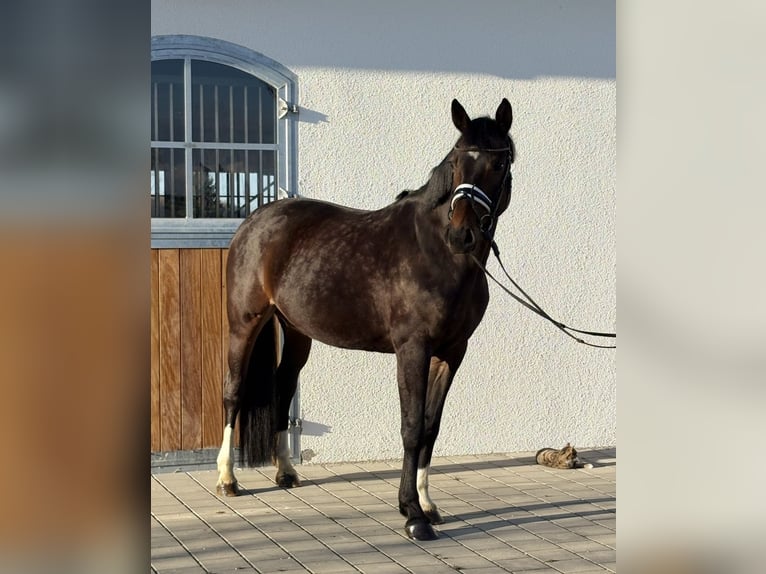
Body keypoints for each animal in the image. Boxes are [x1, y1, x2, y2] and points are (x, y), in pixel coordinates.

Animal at [215, 98, 515, 541]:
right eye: (458, 161)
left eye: (499, 163)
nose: (462, 235)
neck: (438, 254)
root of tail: (255, 221)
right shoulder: (412, 349)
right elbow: (411, 426)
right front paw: (412, 513)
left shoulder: (453, 352)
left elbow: (431, 427)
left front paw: (428, 504)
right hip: (244, 322)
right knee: (233, 392)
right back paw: (227, 479)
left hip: (297, 331)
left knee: (283, 386)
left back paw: (285, 473)